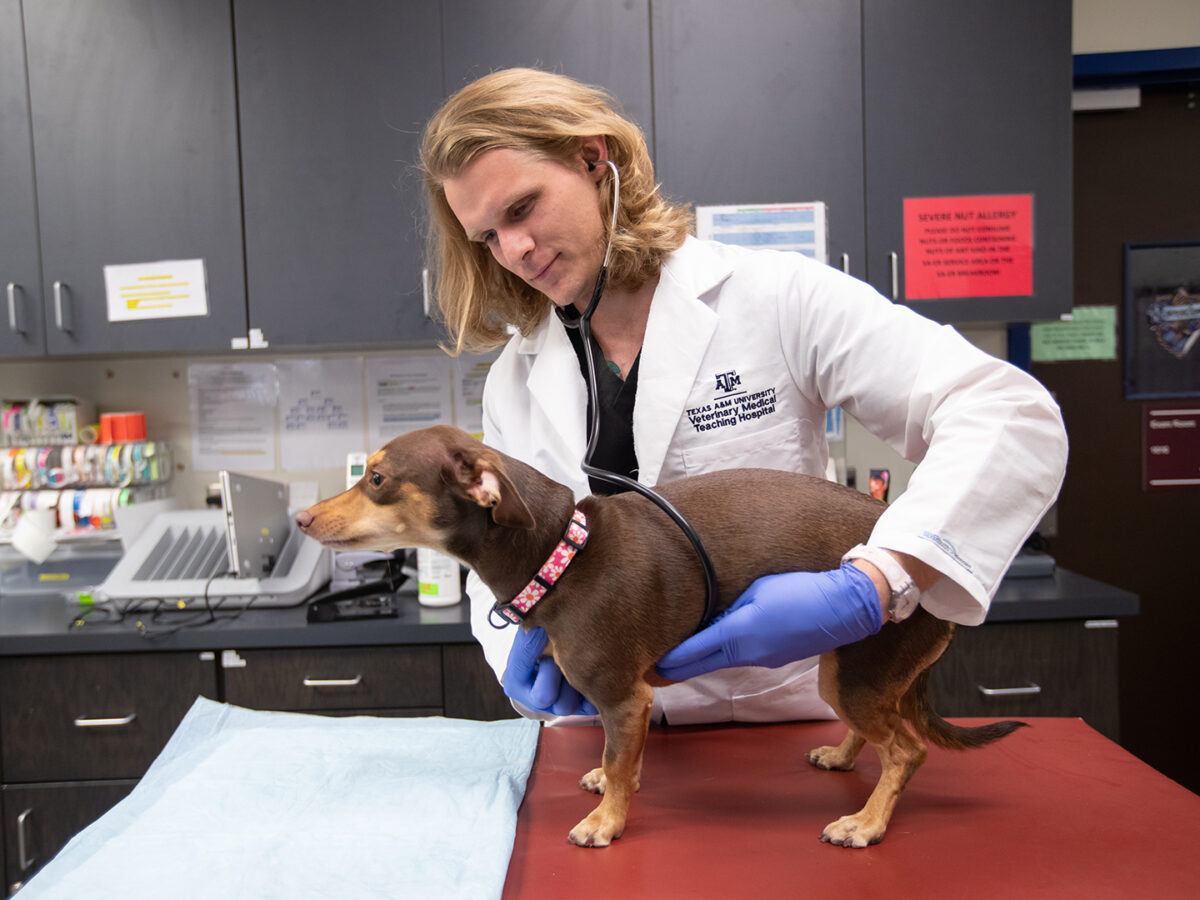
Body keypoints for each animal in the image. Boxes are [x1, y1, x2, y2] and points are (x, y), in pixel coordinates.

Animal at [295, 429, 1017, 854]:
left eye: (377, 479)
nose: (300, 517)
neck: (563, 554)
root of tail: (934, 578)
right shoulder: (626, 705)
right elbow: (621, 759)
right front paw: (611, 787)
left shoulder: (624, 697)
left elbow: (621, 763)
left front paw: (607, 822)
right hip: (844, 670)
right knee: (876, 733)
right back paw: (841, 758)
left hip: (860, 671)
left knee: (906, 750)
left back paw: (866, 822)